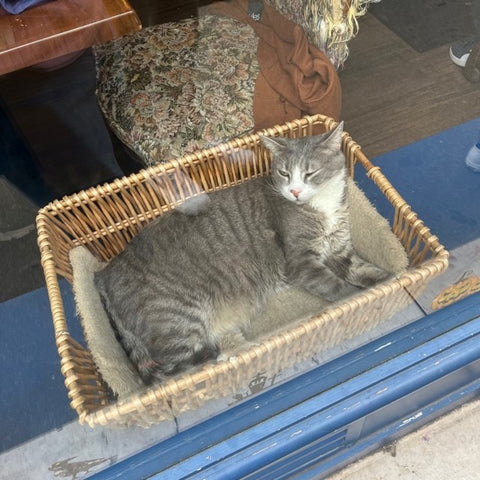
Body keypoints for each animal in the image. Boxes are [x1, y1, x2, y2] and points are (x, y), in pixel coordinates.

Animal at [94, 124, 390, 386]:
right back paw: (217, 354)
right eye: (284, 173)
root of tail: (104, 275)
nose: (294, 191)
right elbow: (339, 288)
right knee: (173, 368)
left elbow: (364, 270)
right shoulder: (301, 262)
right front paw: (358, 298)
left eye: (310, 172)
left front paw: (388, 278)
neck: (321, 207)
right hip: (176, 318)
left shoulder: (341, 250)